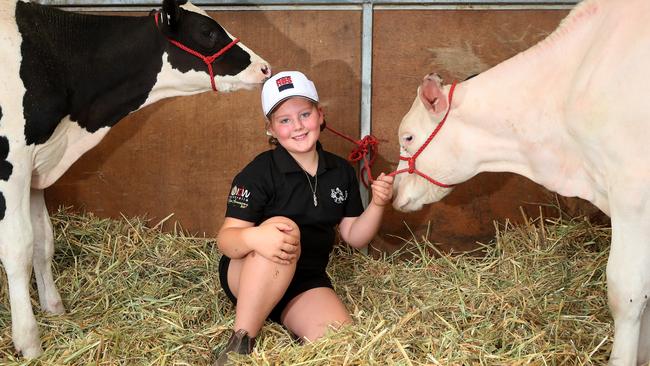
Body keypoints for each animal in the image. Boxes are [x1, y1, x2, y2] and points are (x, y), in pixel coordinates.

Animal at [0, 0, 268, 358]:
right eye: (207, 32)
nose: (265, 68)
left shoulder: (37, 165)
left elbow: (43, 239)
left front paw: (53, 308)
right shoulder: (12, 162)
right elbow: (18, 247)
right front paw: (29, 342)